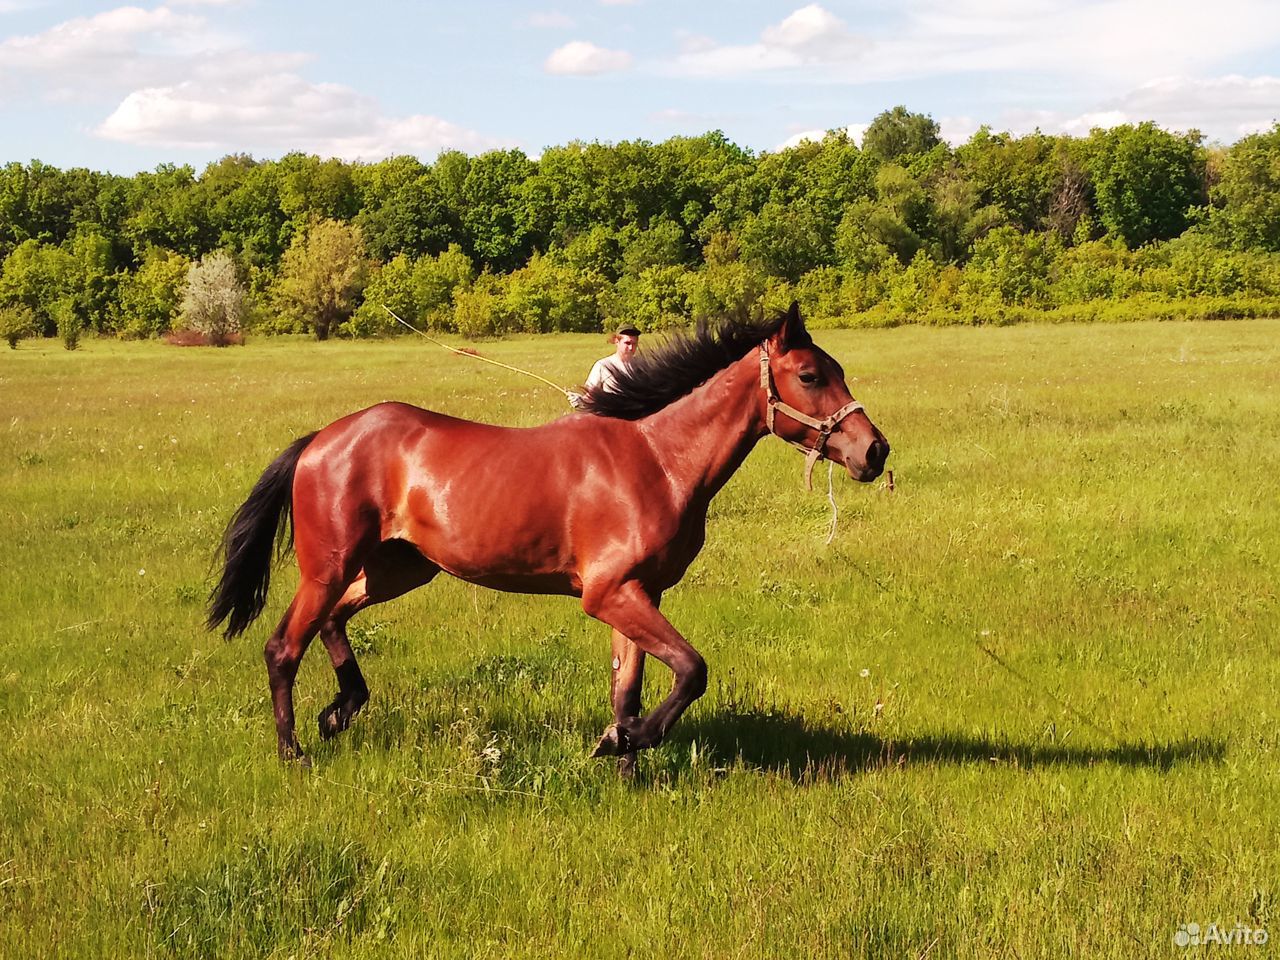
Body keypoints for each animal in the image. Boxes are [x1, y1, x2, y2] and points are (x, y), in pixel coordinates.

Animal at [207, 304, 890, 773]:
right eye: (810, 375)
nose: (874, 451)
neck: (656, 459)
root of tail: (320, 439)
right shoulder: (609, 594)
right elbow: (691, 671)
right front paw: (630, 742)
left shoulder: (639, 595)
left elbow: (628, 688)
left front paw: (624, 758)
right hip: (329, 567)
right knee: (282, 647)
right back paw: (294, 750)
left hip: (397, 568)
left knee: (332, 622)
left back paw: (341, 709)